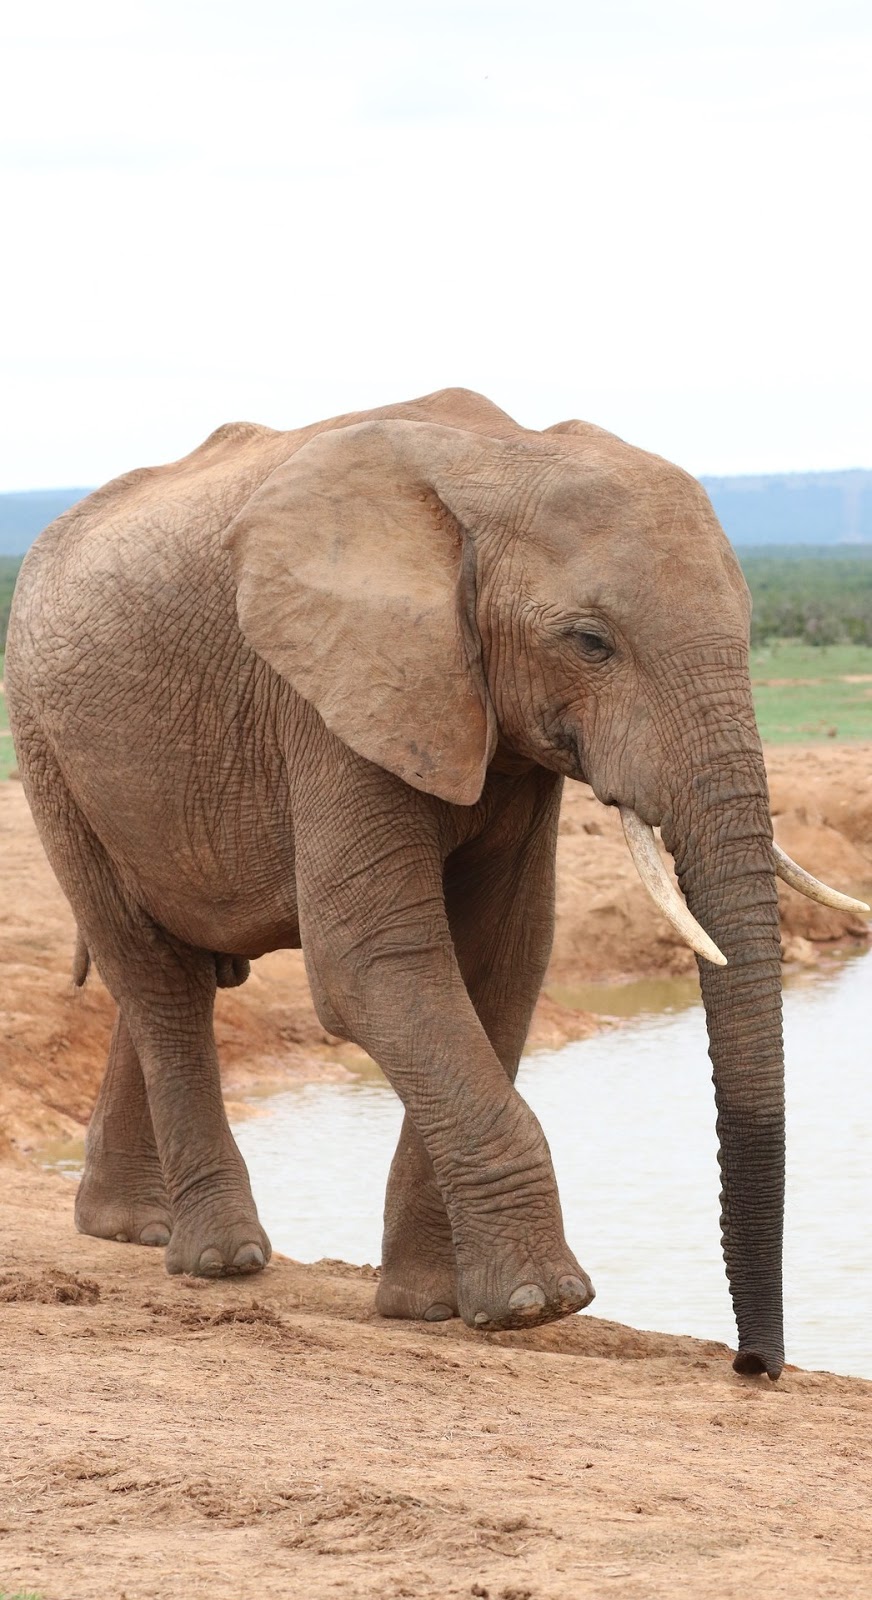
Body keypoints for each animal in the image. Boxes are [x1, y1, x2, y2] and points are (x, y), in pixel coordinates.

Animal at [8, 384, 864, 1376]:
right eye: (591, 642)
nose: (752, 1366)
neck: (501, 461)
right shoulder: (331, 695)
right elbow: (375, 965)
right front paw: (539, 1304)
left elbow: (501, 962)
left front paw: (432, 1307)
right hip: (47, 745)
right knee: (156, 975)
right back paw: (221, 1260)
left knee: (170, 970)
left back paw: (125, 1230)